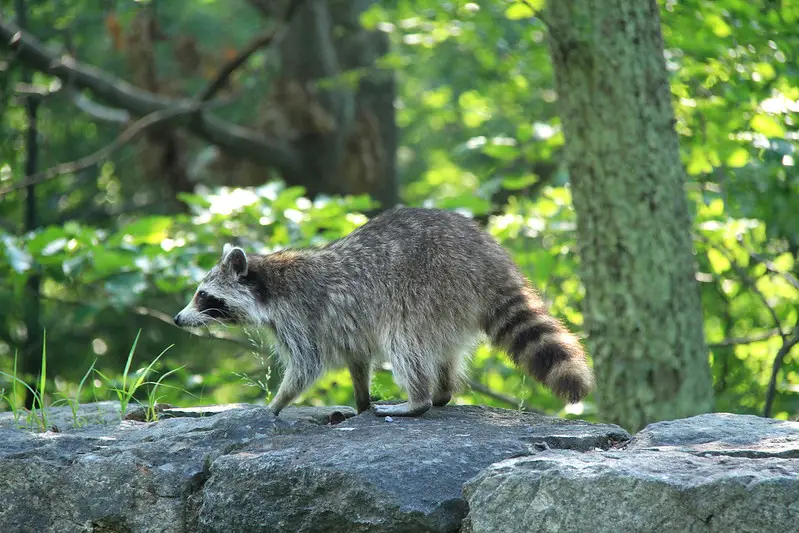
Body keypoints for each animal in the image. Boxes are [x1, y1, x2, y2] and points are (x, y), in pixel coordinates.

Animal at [173, 206, 592, 418]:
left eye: (203, 296)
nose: (177, 319)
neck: (268, 283)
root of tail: (491, 260)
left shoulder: (301, 315)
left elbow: (307, 365)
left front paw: (275, 404)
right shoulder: (339, 325)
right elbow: (357, 358)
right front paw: (361, 399)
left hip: (429, 285)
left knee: (404, 340)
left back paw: (419, 399)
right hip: (451, 304)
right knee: (443, 349)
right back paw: (442, 391)